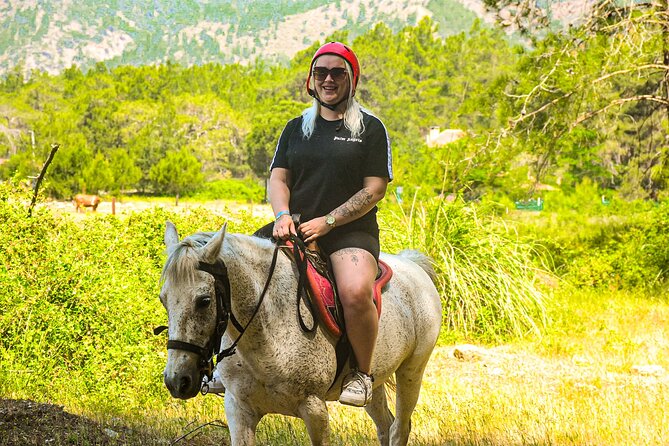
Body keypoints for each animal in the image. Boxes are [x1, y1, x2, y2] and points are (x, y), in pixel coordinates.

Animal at [159, 221, 442, 446]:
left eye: (204, 301)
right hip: (376, 379)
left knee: (399, 428)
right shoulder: (238, 409)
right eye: (164, 300)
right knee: (385, 426)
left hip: (411, 372)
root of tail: (413, 264)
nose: (177, 381)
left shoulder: (314, 409)